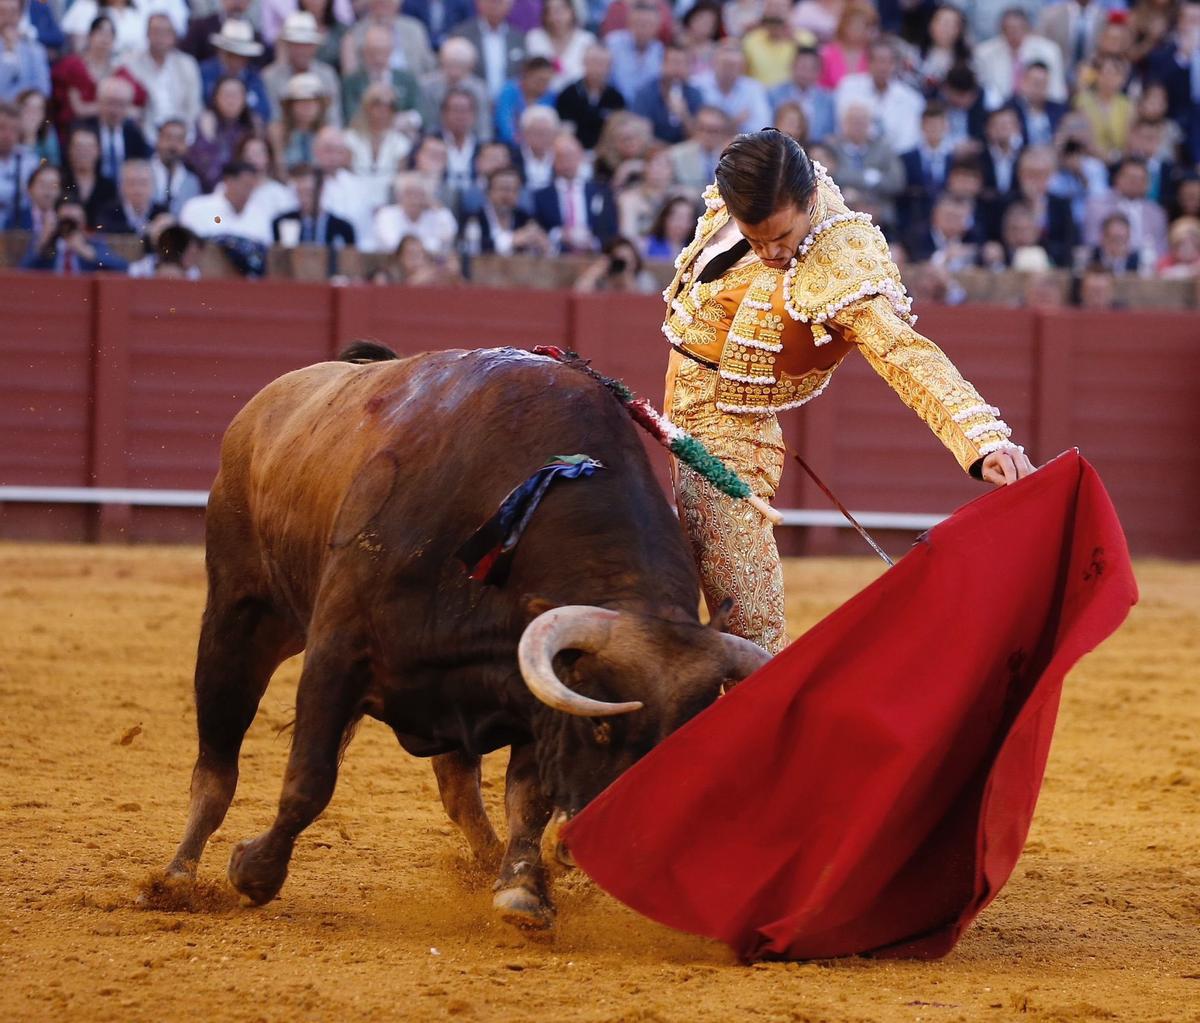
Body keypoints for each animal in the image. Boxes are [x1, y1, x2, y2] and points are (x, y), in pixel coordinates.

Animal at [162, 343, 768, 926]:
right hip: (241, 616)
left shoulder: (530, 687)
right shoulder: (338, 655)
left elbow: (527, 799)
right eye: (598, 727)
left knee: (458, 789)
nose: (608, 852)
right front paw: (254, 871)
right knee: (217, 757)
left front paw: (521, 888)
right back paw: (175, 879)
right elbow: (309, 779)